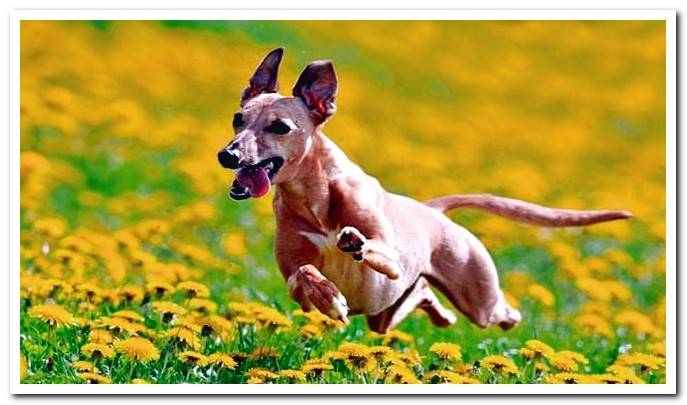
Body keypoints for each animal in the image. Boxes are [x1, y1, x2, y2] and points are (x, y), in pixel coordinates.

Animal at [218, 47, 632, 332]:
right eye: (238, 118)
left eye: (280, 127)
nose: (227, 155)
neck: (315, 200)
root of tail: (433, 210)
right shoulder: (294, 282)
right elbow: (305, 273)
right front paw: (331, 297)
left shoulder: (391, 258)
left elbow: (375, 249)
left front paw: (355, 243)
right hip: (383, 317)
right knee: (420, 299)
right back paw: (437, 311)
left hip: (480, 301)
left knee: (500, 312)